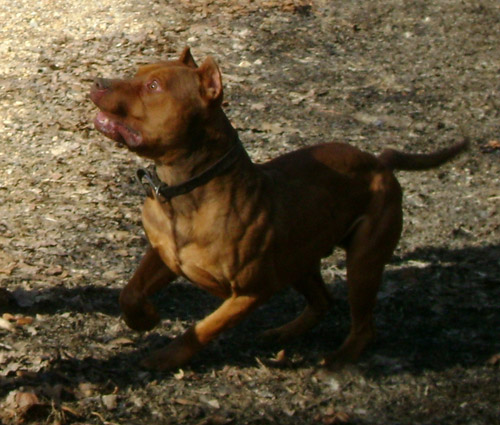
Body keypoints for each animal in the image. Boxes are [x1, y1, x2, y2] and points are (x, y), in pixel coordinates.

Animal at [90, 48, 468, 370]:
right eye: (138, 72)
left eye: (153, 86)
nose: (97, 82)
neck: (186, 189)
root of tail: (380, 162)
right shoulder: (164, 254)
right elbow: (129, 293)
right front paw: (146, 318)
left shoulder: (250, 292)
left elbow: (204, 328)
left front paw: (167, 356)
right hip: (300, 260)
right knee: (322, 301)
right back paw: (283, 333)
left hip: (363, 262)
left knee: (363, 325)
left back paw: (338, 359)